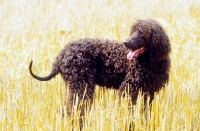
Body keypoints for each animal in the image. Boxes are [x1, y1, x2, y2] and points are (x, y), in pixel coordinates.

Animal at [29, 18, 170, 126]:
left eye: (141, 33)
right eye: (133, 31)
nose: (125, 42)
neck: (150, 63)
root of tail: (60, 56)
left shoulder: (148, 92)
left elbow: (145, 112)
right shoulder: (128, 89)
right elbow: (127, 110)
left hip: (73, 87)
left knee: (66, 109)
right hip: (81, 87)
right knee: (75, 109)